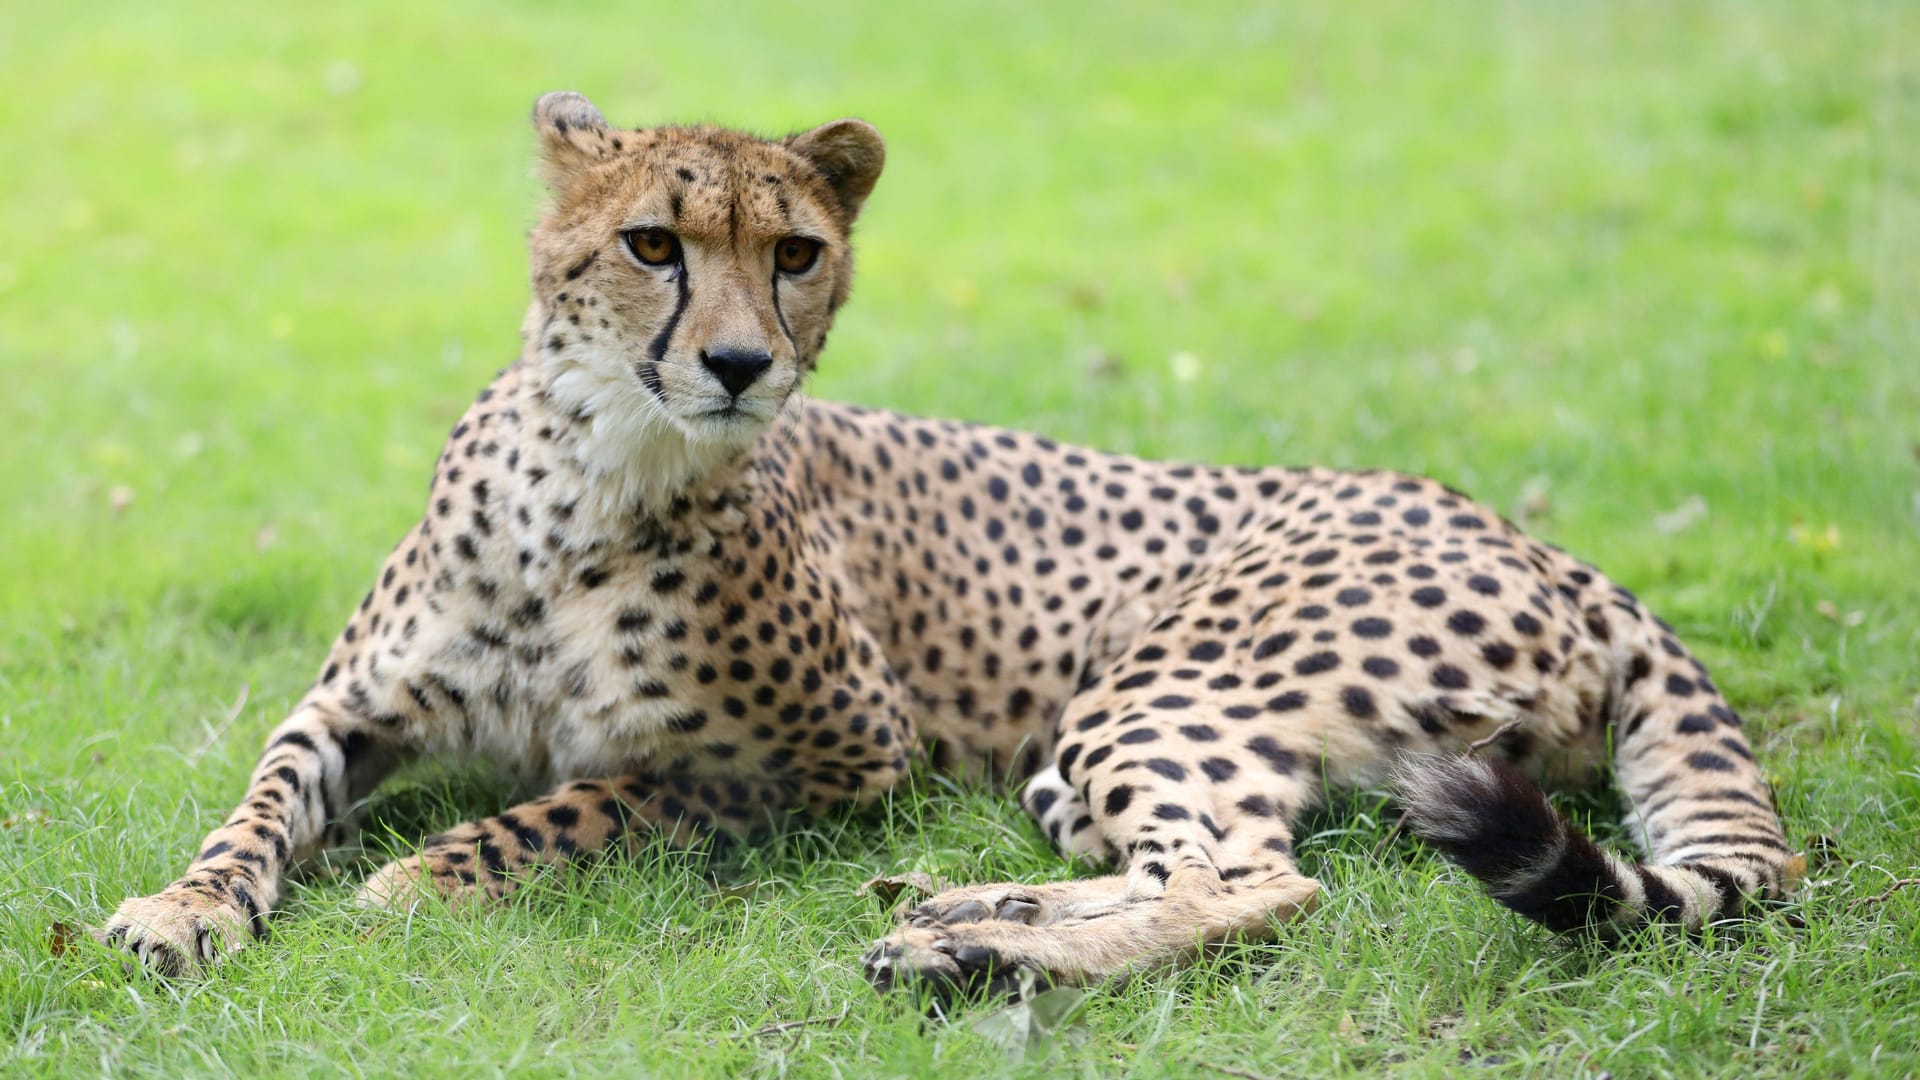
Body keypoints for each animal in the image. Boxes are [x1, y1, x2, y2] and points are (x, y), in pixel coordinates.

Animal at [93, 92, 1797, 991]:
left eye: (795, 253)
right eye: (652, 243)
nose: (739, 364)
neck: (597, 474)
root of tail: (1561, 553)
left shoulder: (839, 761)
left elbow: (589, 801)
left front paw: (426, 874)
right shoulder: (347, 706)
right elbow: (259, 804)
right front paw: (185, 906)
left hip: (1158, 692)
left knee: (1258, 883)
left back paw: (975, 954)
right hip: (1077, 762)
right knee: (1204, 862)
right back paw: (960, 915)